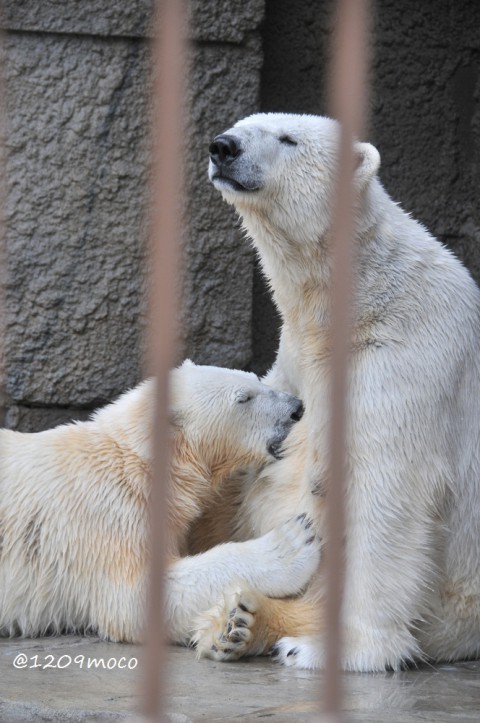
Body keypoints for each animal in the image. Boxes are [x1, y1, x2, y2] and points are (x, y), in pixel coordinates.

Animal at [0, 362, 318, 644]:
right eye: (243, 398)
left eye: (256, 378)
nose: (296, 408)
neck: (139, 465)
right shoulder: (107, 515)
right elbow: (135, 601)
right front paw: (291, 543)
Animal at [194, 111, 480, 672]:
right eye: (241, 124)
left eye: (288, 138)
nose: (224, 147)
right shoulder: (295, 358)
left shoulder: (402, 356)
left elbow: (386, 489)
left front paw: (343, 650)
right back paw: (235, 623)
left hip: (456, 608)